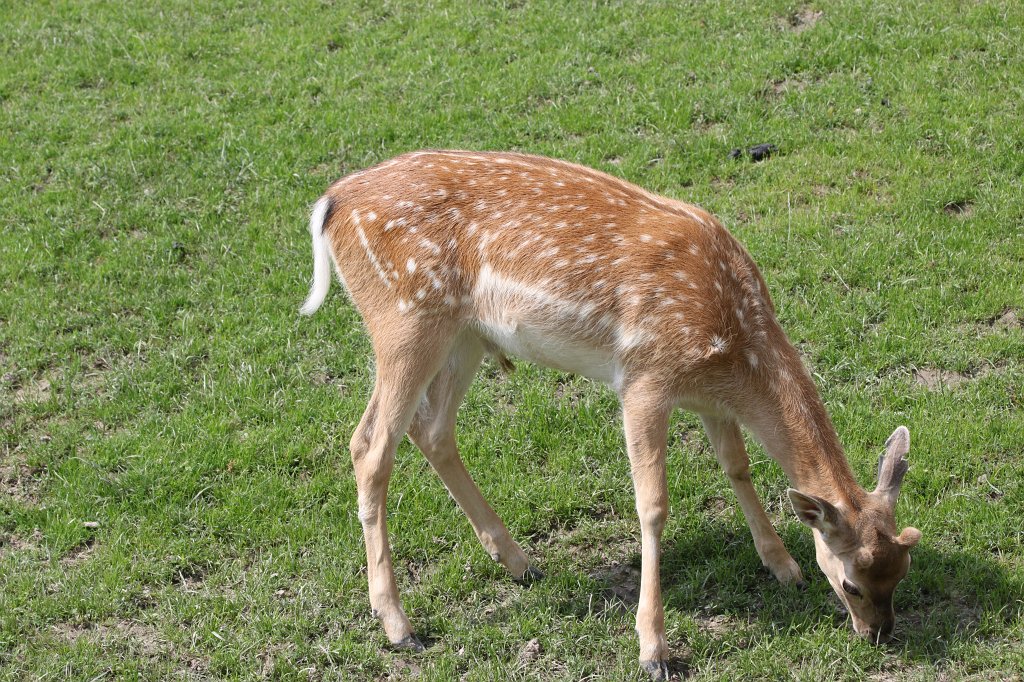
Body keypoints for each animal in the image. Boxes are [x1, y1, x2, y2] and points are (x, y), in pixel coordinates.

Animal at [299, 150, 921, 680]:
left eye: (901, 570)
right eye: (852, 584)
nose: (878, 634)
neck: (733, 351)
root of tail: (330, 202)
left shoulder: (710, 399)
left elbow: (737, 467)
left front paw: (783, 566)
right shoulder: (645, 379)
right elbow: (653, 506)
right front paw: (654, 649)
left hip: (465, 335)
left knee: (431, 429)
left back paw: (519, 562)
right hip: (404, 321)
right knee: (370, 445)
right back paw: (398, 624)